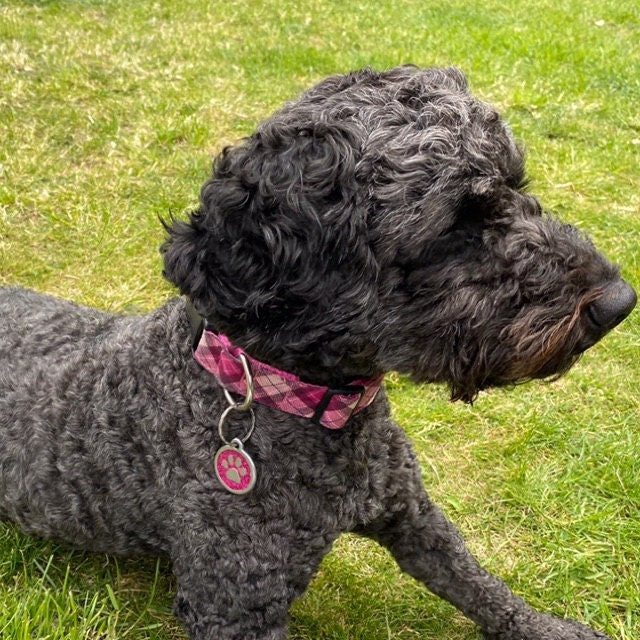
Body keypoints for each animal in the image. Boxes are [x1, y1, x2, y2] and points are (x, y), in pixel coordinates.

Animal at [0, 66, 636, 640]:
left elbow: (481, 585)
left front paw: (548, 627)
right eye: (452, 225)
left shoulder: (410, 511)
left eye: (516, 185)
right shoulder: (234, 606)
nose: (618, 301)